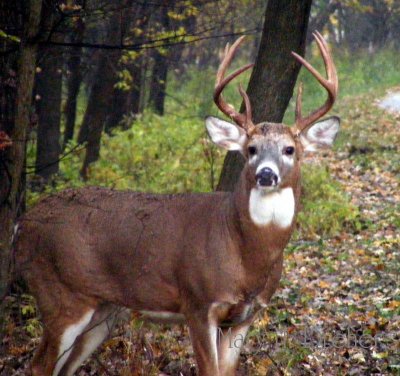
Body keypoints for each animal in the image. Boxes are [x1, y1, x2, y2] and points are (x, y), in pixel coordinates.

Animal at [16, 33, 338, 376]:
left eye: (290, 149)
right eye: (251, 149)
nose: (266, 174)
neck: (245, 253)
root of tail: (23, 223)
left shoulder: (245, 316)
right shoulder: (198, 303)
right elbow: (209, 369)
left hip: (102, 311)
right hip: (59, 293)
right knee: (38, 365)